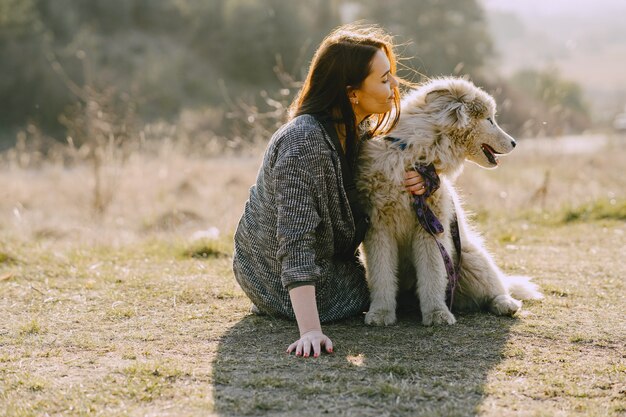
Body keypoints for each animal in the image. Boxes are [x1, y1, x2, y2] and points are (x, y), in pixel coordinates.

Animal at [356, 77, 540, 324]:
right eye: (489, 120)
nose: (514, 143)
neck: (412, 155)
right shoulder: (378, 229)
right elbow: (381, 275)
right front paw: (380, 313)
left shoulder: (432, 228)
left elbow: (432, 274)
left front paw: (437, 314)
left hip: (472, 260)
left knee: (496, 287)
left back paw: (505, 304)